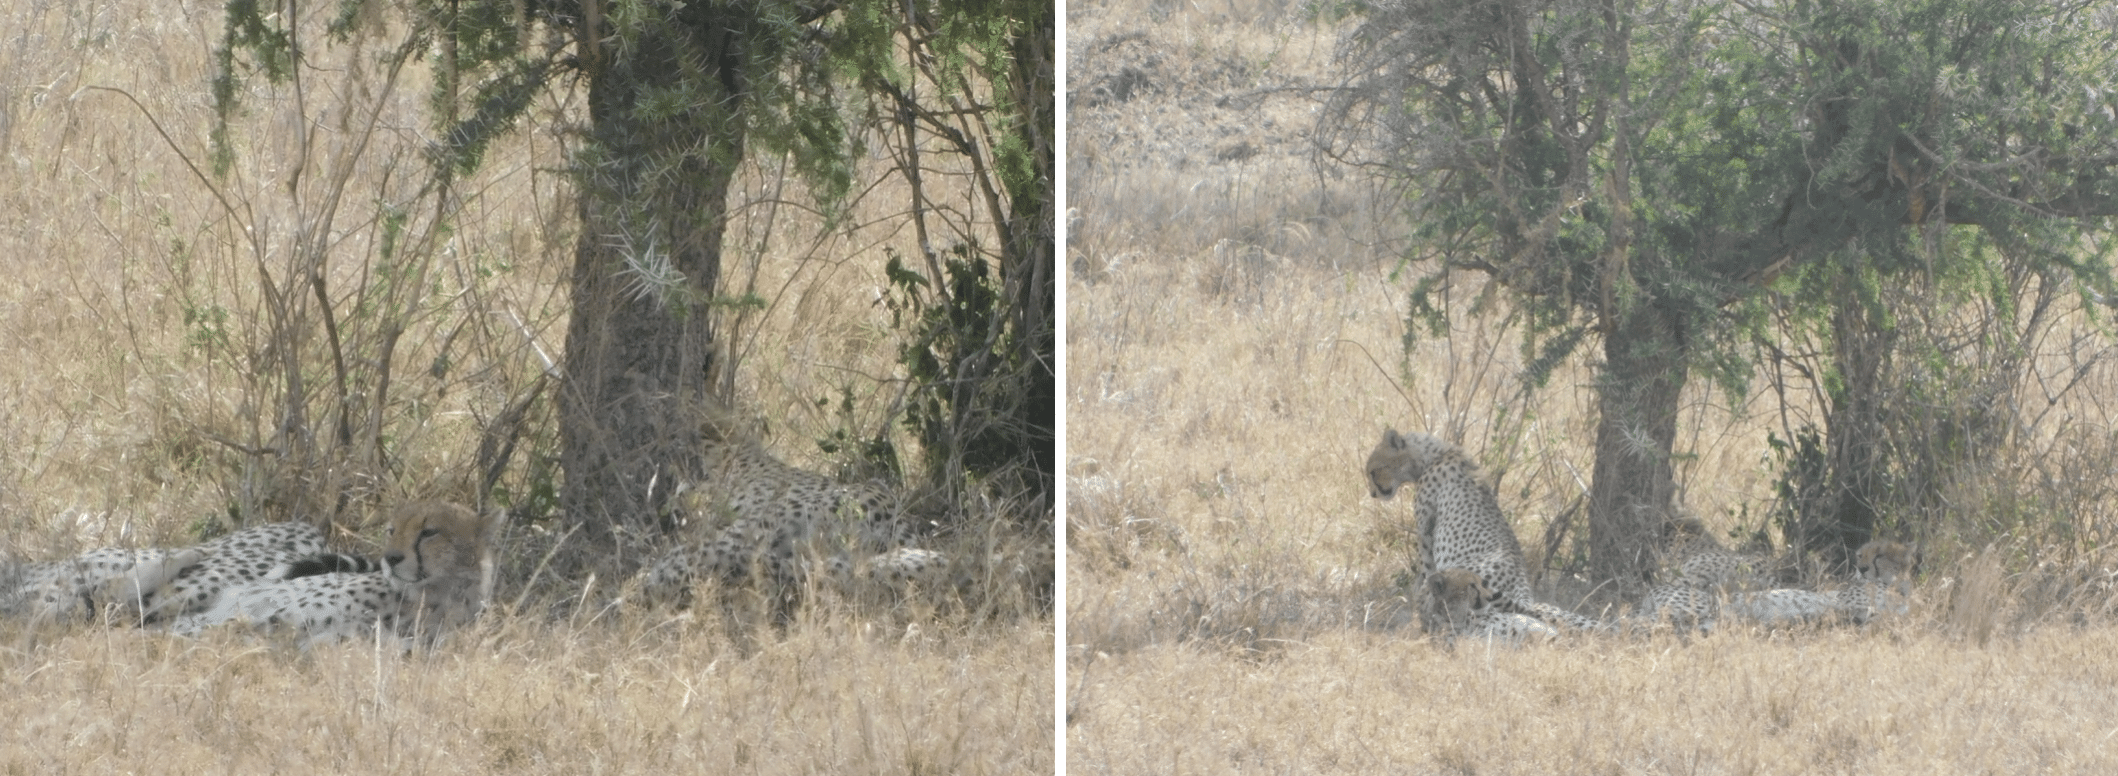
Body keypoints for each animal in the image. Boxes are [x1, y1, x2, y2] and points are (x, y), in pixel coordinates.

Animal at [1363, 428, 1592, 631]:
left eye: (1374, 471)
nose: (1373, 494)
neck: (1434, 455)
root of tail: (1523, 592)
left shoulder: (1426, 530)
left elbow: (1425, 570)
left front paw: (1414, 603)